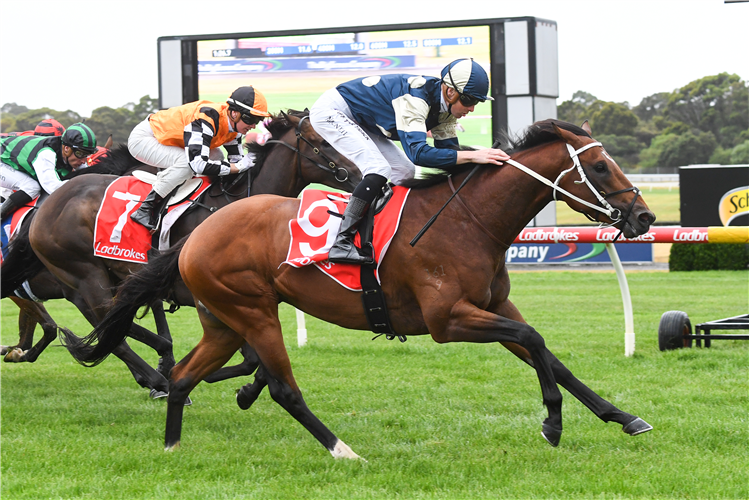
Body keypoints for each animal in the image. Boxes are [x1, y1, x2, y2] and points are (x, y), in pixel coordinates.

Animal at [0, 111, 360, 396]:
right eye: (323, 141)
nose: (357, 174)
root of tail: (49, 203)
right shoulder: (208, 294)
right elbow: (248, 357)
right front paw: (188, 373)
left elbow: (251, 360)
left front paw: (239, 384)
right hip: (83, 277)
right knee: (110, 329)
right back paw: (157, 379)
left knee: (110, 325)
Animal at [64, 120, 656, 458]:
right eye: (600, 166)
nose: (645, 217)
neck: (469, 220)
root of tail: (194, 236)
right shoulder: (448, 320)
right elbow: (534, 340)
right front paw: (552, 424)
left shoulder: (491, 305)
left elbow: (549, 355)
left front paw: (623, 417)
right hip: (253, 313)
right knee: (283, 389)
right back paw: (341, 450)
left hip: (223, 321)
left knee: (186, 375)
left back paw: (172, 446)